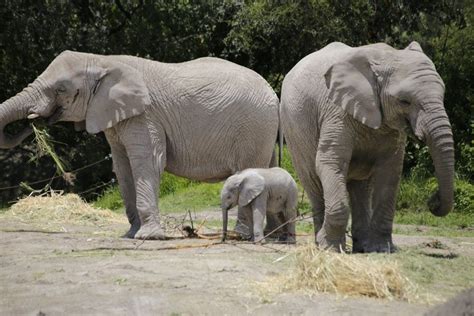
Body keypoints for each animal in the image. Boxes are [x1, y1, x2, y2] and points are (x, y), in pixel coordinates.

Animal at [0, 51, 280, 239]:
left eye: (61, 89)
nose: (36, 121)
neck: (101, 60)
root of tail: (273, 93)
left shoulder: (145, 116)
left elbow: (148, 162)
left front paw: (148, 237)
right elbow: (122, 166)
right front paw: (130, 234)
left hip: (253, 127)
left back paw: (242, 236)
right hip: (263, 130)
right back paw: (273, 235)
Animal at [280, 42, 454, 253]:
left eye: (443, 95)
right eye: (404, 101)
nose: (433, 200)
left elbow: (390, 173)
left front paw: (381, 249)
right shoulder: (336, 111)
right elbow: (330, 162)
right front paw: (330, 248)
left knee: (361, 188)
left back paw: (361, 247)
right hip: (294, 132)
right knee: (313, 180)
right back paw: (321, 243)